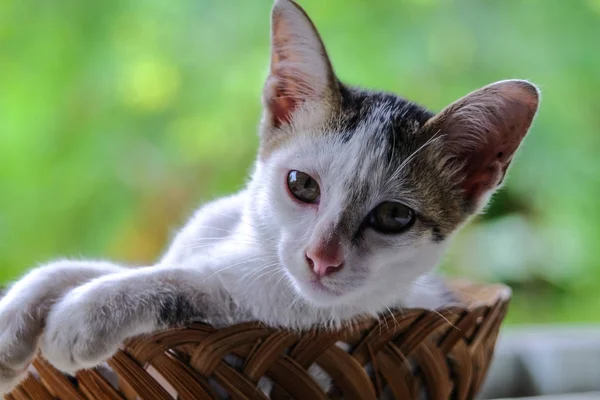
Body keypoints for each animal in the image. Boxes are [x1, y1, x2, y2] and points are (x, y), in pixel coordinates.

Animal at [0, 0, 540, 394]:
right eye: (301, 184)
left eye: (393, 216)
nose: (321, 259)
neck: (249, 241)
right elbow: (83, 268)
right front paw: (12, 322)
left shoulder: (298, 322)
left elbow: (192, 283)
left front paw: (83, 315)